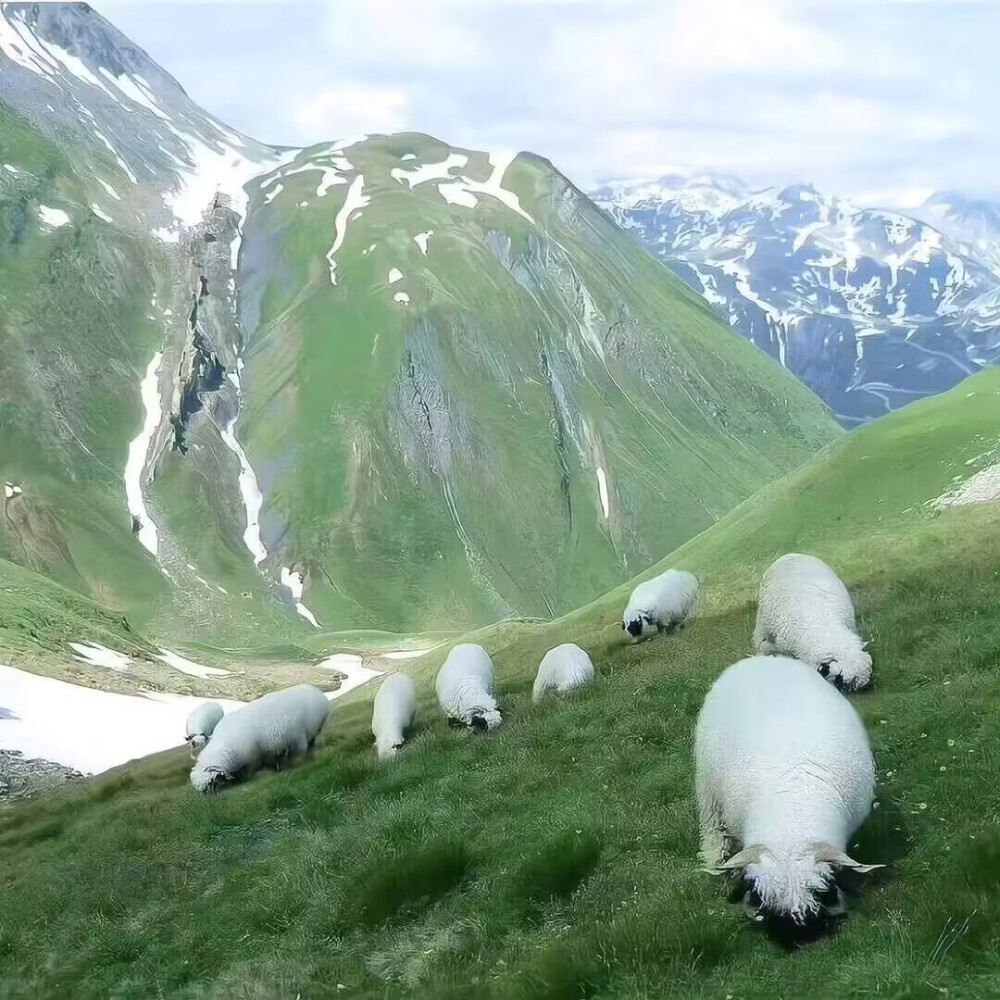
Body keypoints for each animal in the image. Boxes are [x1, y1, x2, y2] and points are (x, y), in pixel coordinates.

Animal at [696, 656, 884, 928]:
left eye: (822, 892)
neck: (793, 819)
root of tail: (763, 659)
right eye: (759, 895)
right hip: (707, 786)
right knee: (712, 827)